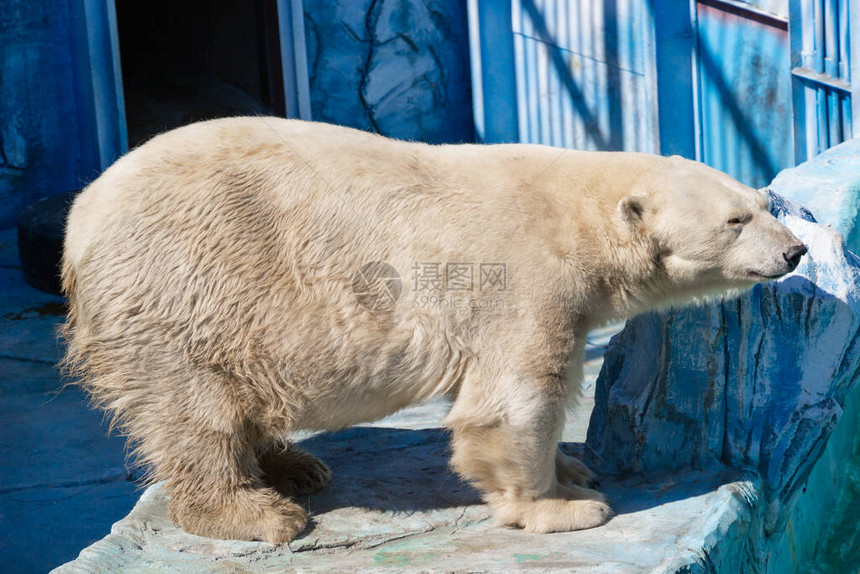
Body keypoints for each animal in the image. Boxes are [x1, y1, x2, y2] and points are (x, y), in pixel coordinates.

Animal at [62, 118, 808, 544]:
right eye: (737, 220)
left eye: (761, 202)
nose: (797, 251)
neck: (577, 214)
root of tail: (80, 222)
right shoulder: (523, 280)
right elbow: (513, 403)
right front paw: (563, 507)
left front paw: (574, 468)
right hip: (181, 294)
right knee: (196, 414)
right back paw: (258, 513)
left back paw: (296, 465)